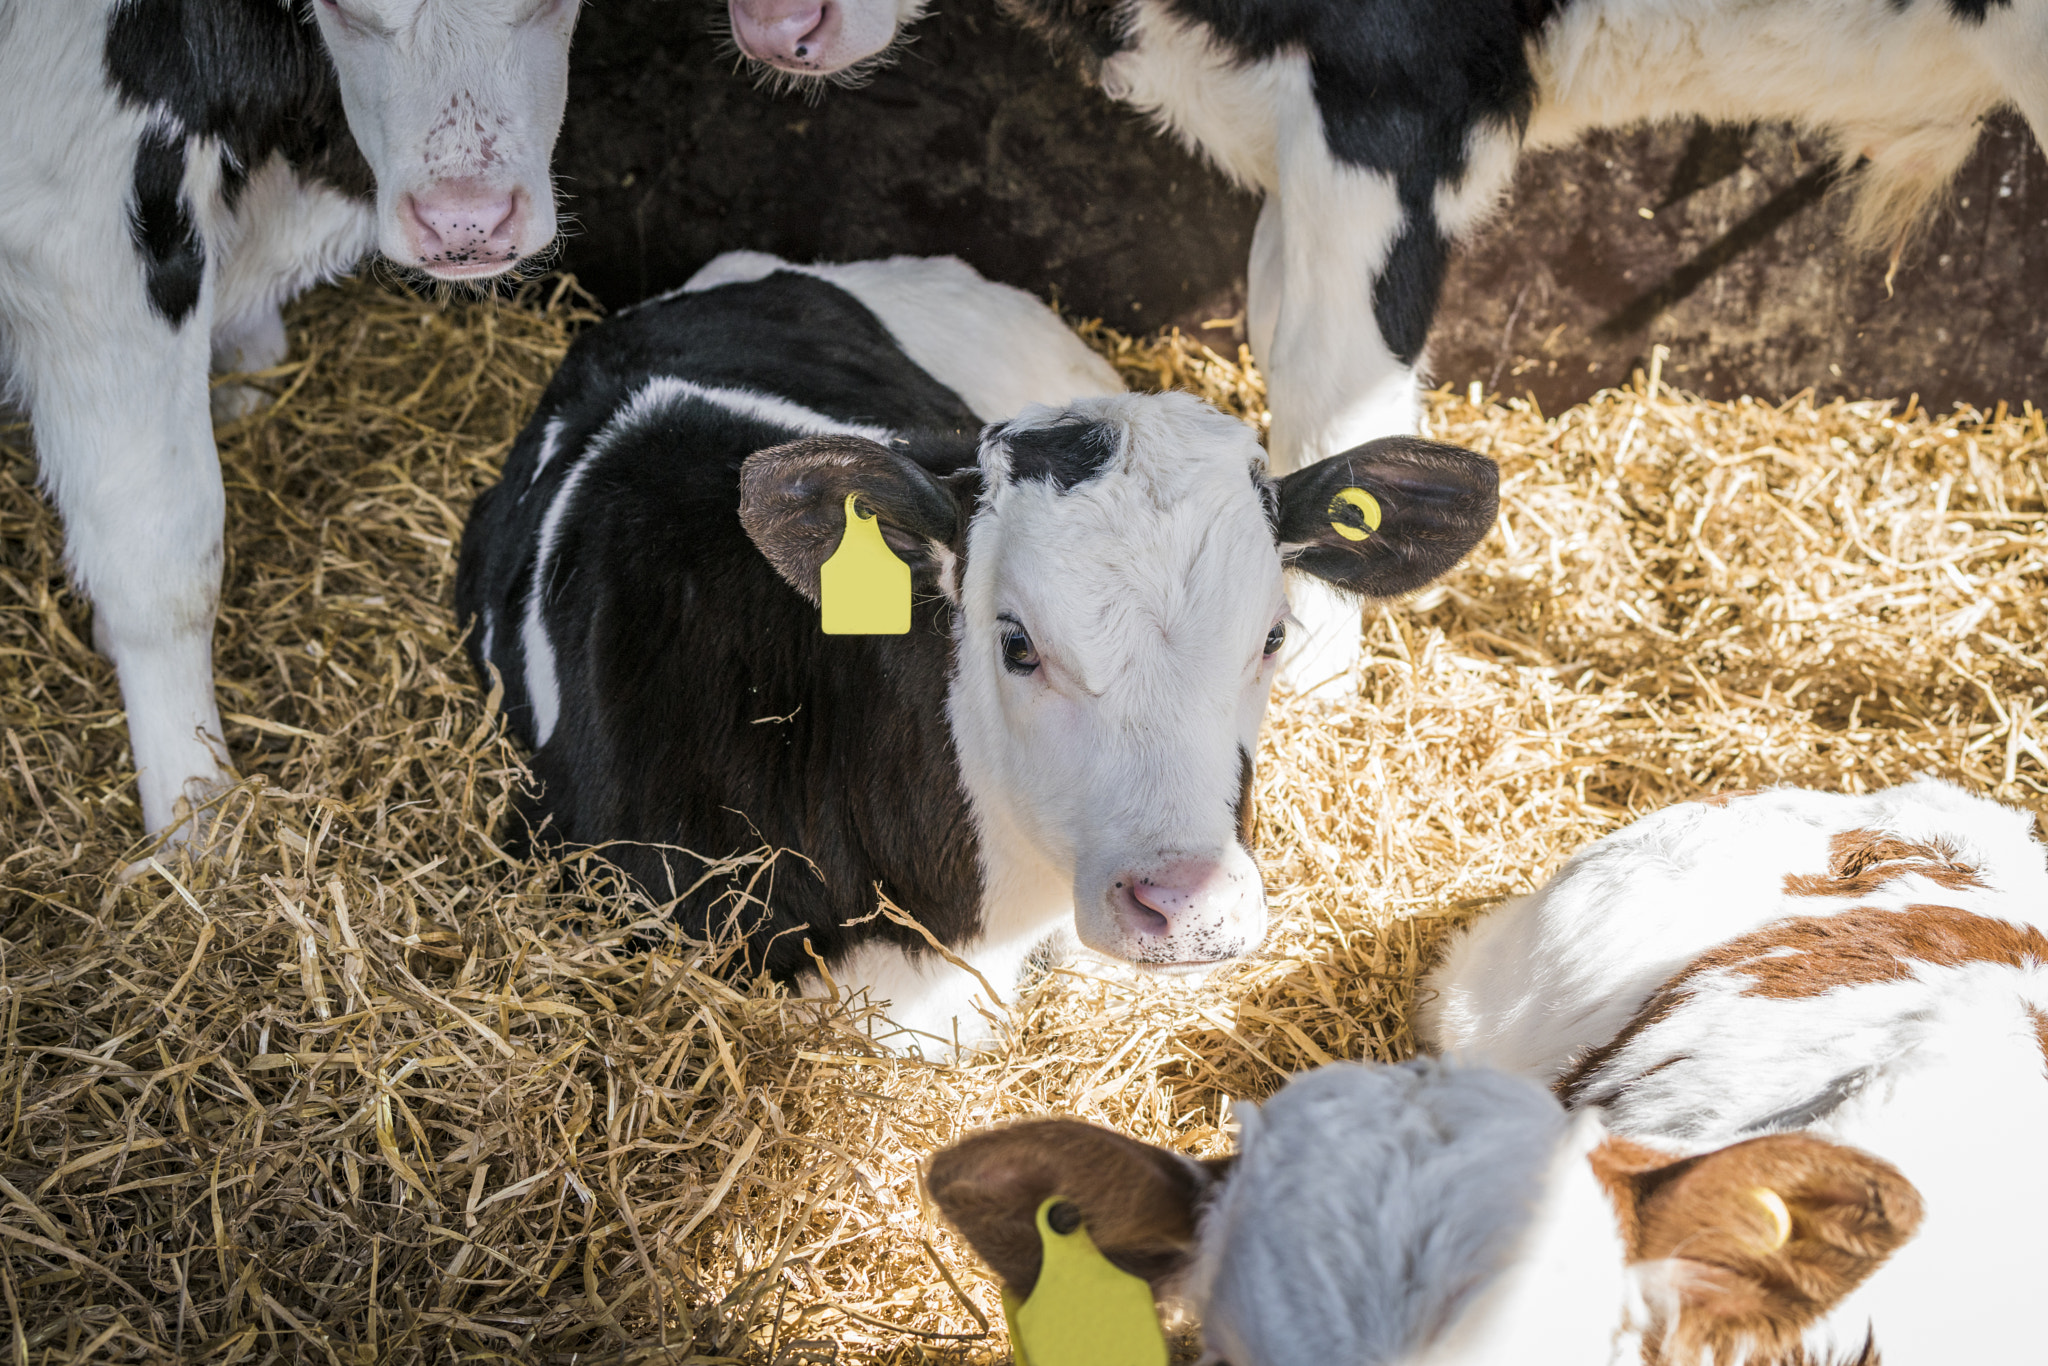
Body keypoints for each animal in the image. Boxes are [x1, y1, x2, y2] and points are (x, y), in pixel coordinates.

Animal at [0, 0, 578, 843]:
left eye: (553, 4)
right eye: (345, 12)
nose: (464, 223)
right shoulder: (89, 238)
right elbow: (162, 561)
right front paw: (196, 815)